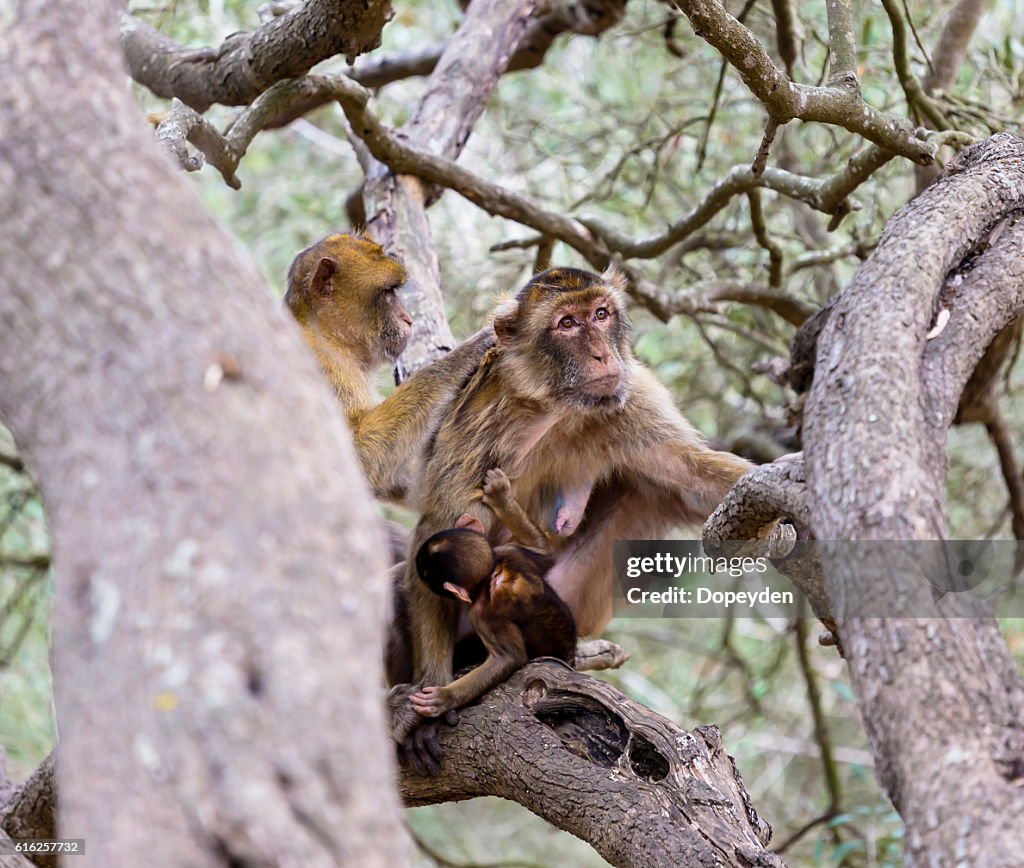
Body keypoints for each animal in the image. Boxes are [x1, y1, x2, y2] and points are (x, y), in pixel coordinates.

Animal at [411, 470, 581, 716]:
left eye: (425, 573)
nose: (416, 567)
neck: (491, 574)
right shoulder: (511, 553)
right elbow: (544, 550)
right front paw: (501, 495)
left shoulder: (482, 615)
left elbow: (508, 658)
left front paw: (443, 698)